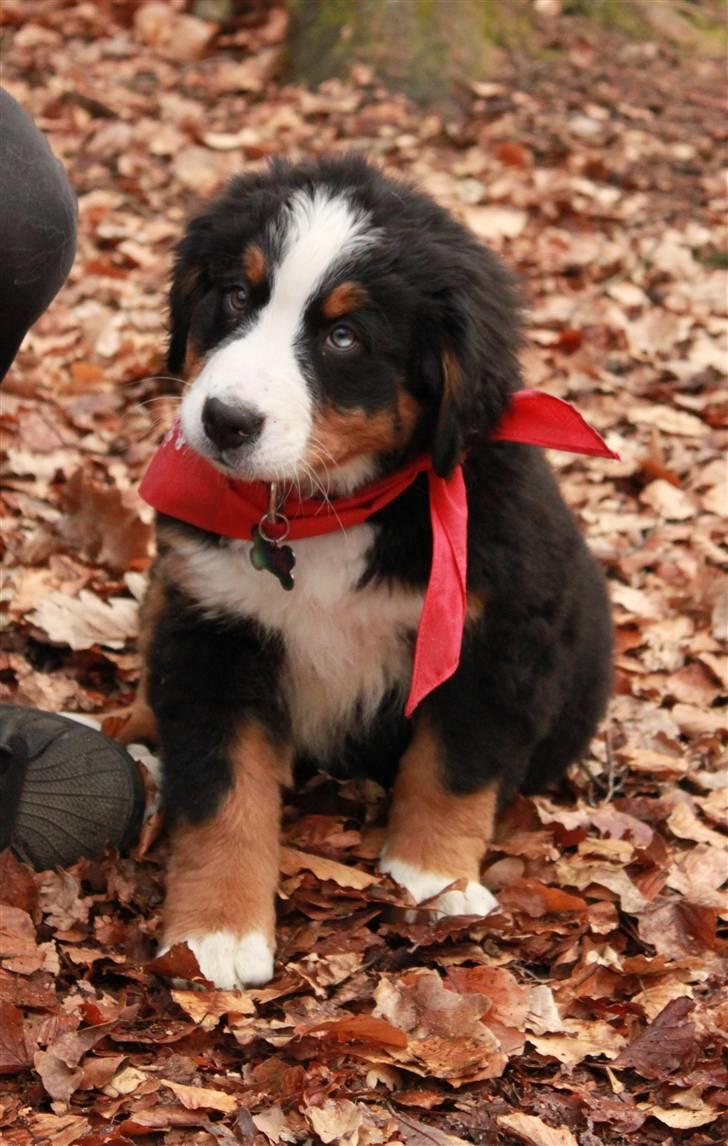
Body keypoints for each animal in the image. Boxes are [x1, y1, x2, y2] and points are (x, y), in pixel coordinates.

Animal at [132, 157, 614, 990]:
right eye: (237, 296)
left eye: (344, 336)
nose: (225, 421)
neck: (323, 511)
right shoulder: (211, 630)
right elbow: (224, 791)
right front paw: (216, 933)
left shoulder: (496, 632)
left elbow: (453, 763)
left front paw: (433, 878)